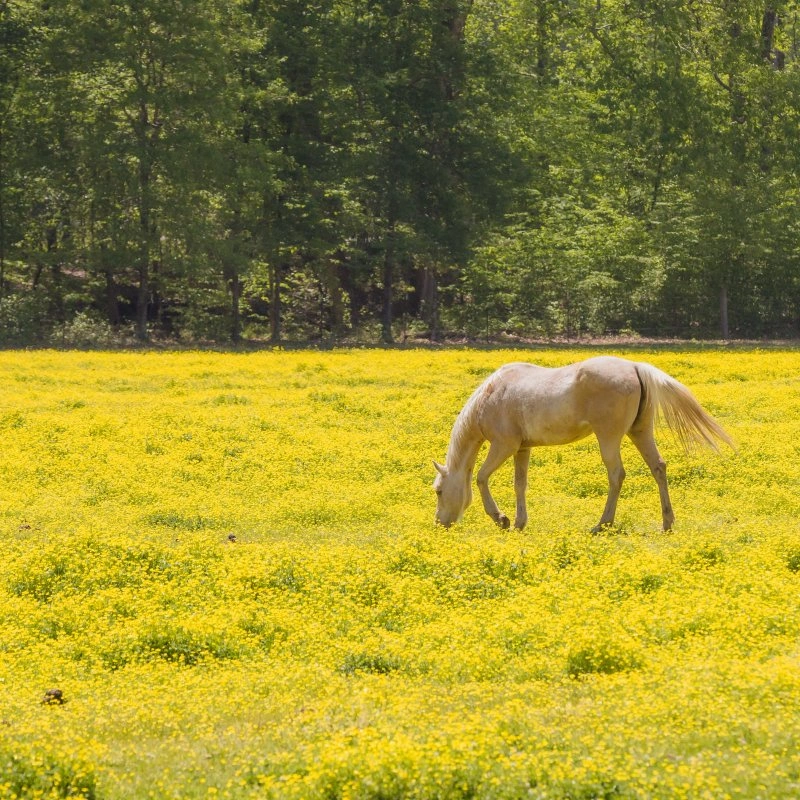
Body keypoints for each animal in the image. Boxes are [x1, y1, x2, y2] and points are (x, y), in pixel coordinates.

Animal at [433, 356, 735, 532]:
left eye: (438, 491)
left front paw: (501, 519)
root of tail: (635, 367)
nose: (440, 524)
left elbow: (481, 477)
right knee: (658, 467)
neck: (491, 396)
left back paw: (602, 524)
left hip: (609, 437)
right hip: (640, 432)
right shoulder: (522, 449)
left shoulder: (503, 446)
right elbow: (520, 485)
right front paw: (519, 523)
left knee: (616, 474)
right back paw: (667, 523)